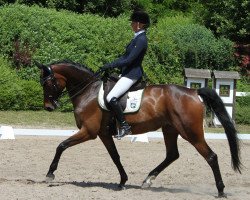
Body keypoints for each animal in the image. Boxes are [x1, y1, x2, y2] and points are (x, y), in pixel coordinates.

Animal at [34, 60, 241, 198]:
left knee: (211, 156)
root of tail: (194, 91)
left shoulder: (89, 132)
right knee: (172, 155)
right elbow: (115, 156)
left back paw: (221, 190)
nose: (48, 107)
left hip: (191, 132)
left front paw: (50, 174)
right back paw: (147, 180)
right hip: (170, 129)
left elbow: (61, 145)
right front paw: (122, 181)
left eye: (47, 83)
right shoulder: (103, 134)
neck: (88, 92)